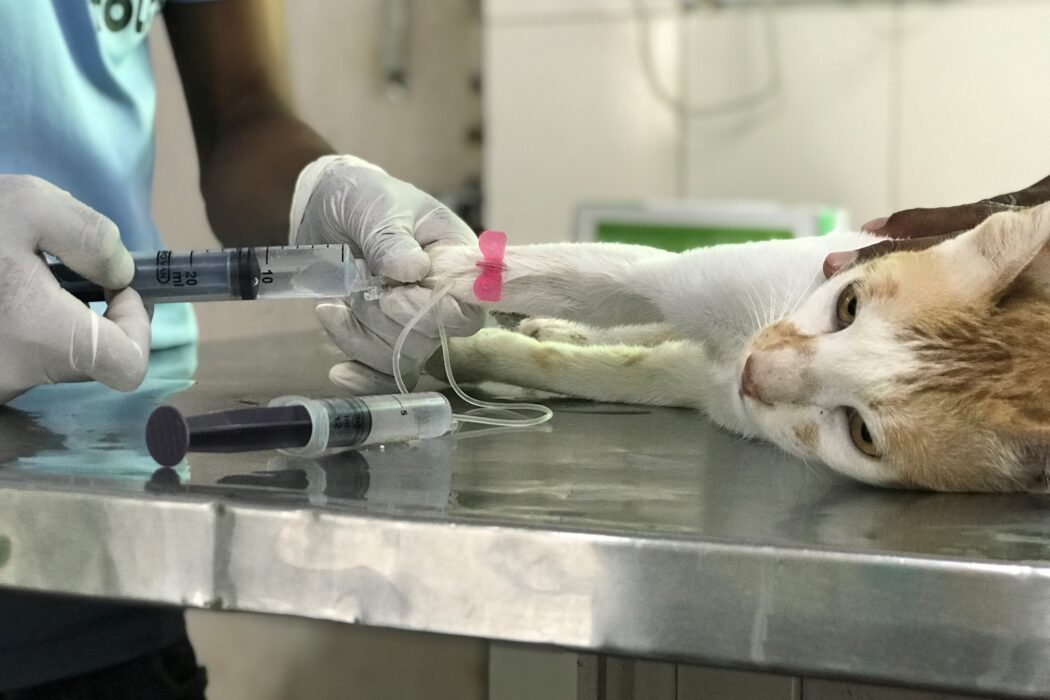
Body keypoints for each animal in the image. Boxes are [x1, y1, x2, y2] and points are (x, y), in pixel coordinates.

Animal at [424, 205, 1050, 495]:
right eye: (849, 305)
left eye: (863, 434)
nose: (756, 371)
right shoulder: (682, 281)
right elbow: (574, 273)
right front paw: (437, 278)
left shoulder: (701, 384)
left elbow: (594, 370)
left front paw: (470, 352)